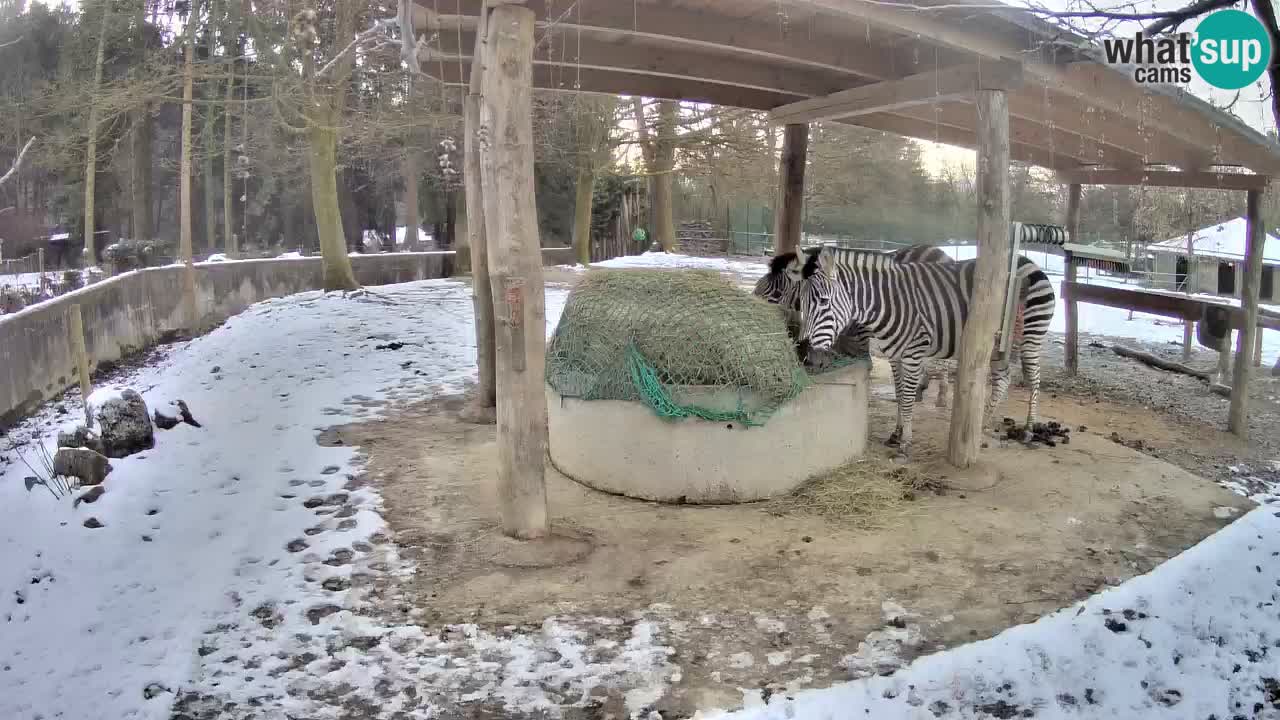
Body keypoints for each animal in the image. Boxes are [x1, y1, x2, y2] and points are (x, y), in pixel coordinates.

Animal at [783, 243, 1054, 450]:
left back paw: (1029, 429)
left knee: (1035, 378)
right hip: (997, 344)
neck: (888, 302)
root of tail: (1027, 260)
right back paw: (984, 424)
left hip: (1031, 335)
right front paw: (897, 433)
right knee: (1003, 379)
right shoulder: (894, 354)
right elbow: (901, 392)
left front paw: (906, 443)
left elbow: (908, 396)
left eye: (823, 301)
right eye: (802, 303)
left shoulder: (913, 352)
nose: (808, 358)